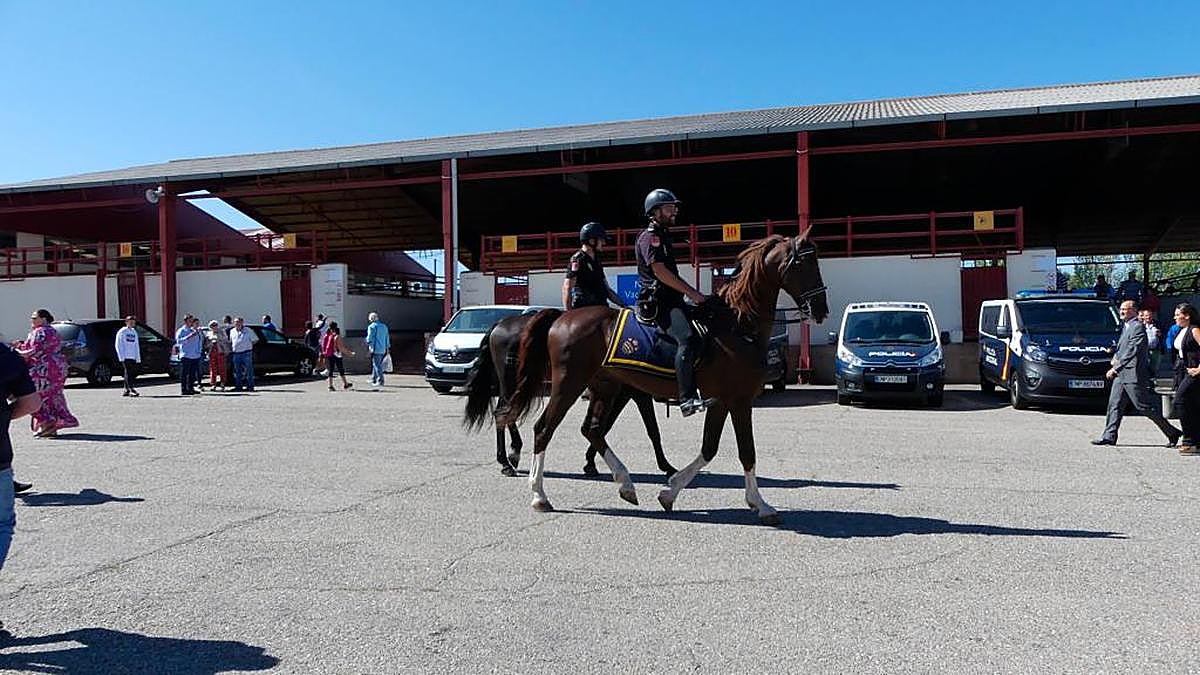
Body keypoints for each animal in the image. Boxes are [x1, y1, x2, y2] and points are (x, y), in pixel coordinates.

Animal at [464, 311, 677, 478]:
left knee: (506, 413)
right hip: (512, 383)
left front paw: (590, 460)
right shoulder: (636, 394)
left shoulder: (621, 393)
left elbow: (606, 425)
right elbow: (651, 429)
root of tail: (500, 323)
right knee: (502, 413)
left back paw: (512, 454)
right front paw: (667, 466)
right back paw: (506, 461)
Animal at [500, 232, 828, 524]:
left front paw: (670, 493)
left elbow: (712, 449)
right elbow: (745, 451)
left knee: (592, 429)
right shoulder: (737, 400)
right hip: (569, 384)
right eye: (804, 263)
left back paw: (625, 484)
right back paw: (539, 495)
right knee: (544, 429)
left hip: (605, 386)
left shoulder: (723, 401)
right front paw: (761, 504)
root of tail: (562, 317)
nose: (821, 310)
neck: (737, 325)